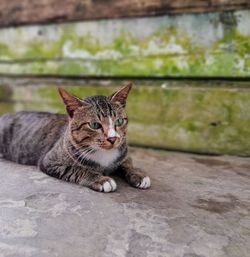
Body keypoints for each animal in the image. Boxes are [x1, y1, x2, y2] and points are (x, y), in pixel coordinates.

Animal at [0, 83, 150, 191]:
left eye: (118, 121)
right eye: (95, 125)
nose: (113, 139)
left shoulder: (123, 152)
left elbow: (127, 163)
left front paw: (138, 174)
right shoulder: (50, 161)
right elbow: (77, 169)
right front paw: (101, 179)